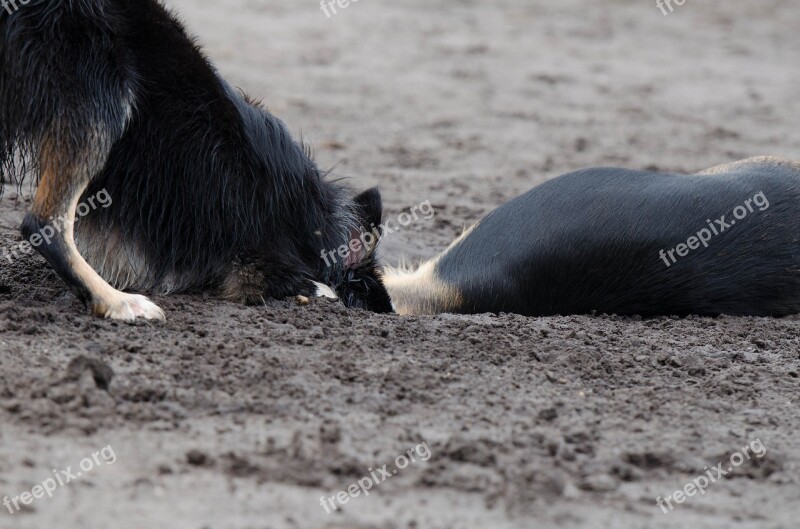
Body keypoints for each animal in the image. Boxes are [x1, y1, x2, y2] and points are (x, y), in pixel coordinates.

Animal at [0, 0, 394, 320]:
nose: (388, 314)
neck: (314, 226)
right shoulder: (256, 260)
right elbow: (302, 282)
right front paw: (321, 290)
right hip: (105, 97)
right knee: (43, 224)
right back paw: (116, 302)